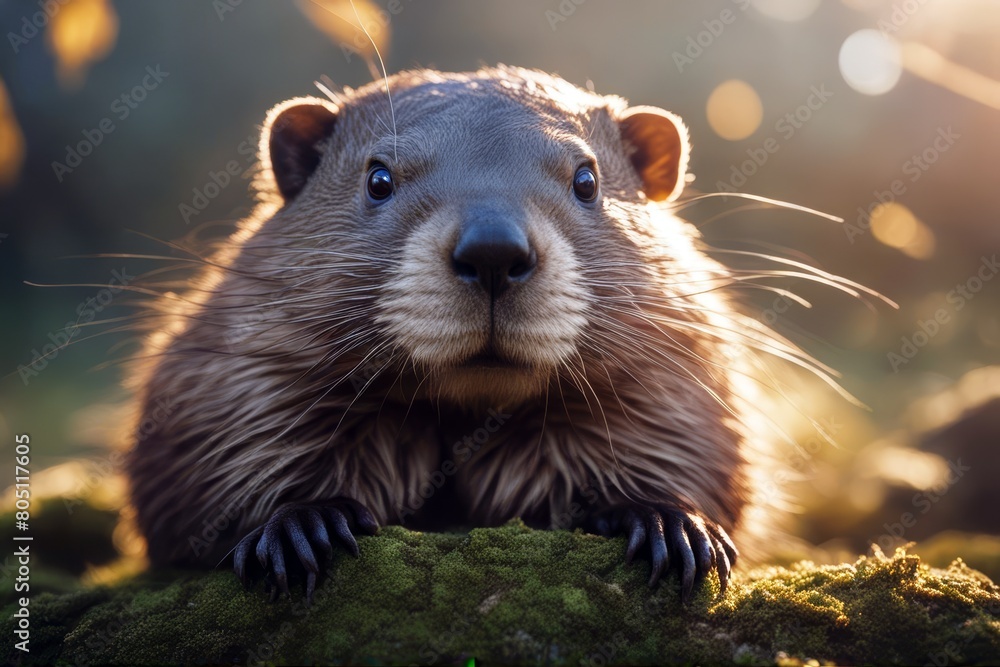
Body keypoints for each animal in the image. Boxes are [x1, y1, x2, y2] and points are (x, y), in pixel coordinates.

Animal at [121, 65, 764, 604]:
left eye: (587, 179)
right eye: (378, 178)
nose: (493, 252)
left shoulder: (670, 374)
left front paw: (671, 525)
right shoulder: (239, 368)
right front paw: (300, 528)